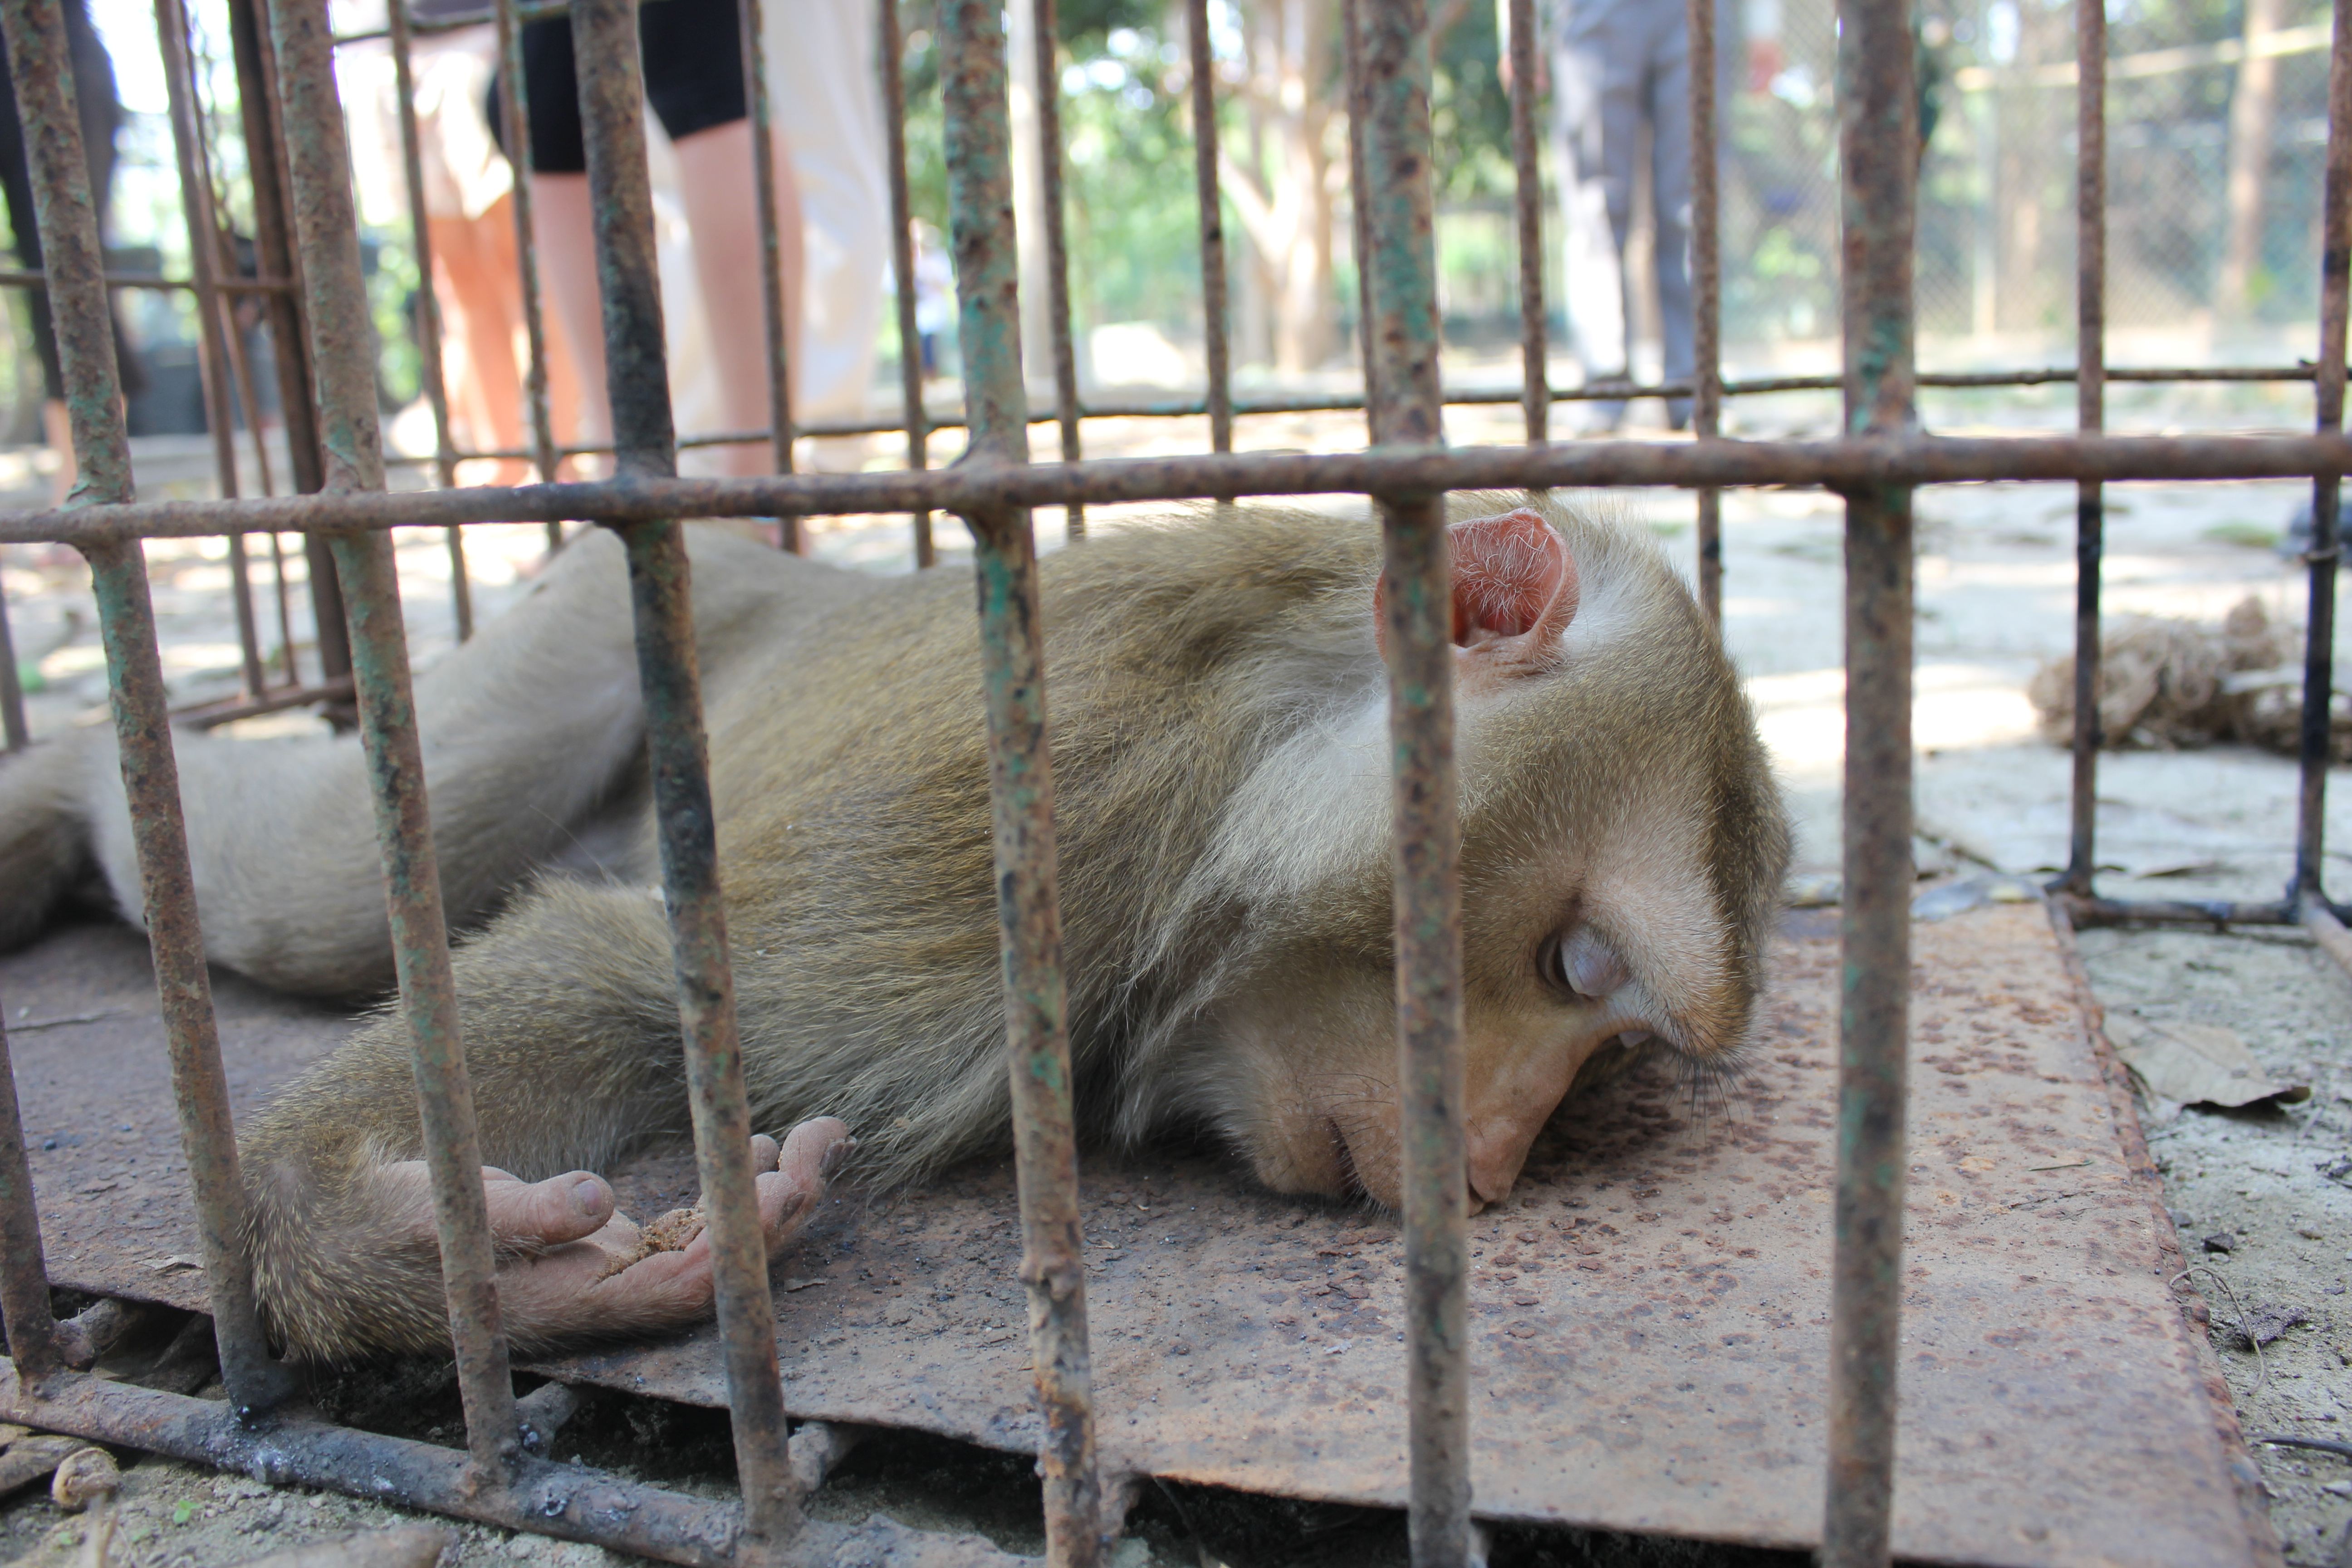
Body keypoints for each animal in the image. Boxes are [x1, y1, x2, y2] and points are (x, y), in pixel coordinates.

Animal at [0, 503, 1778, 1363]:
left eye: (1600, 1054)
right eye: (1574, 962)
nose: (1489, 1161)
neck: (1234, 753)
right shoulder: (1023, 820)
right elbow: (644, 982)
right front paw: (413, 1248)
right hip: (588, 617)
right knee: (312, 895)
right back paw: (76, 757)